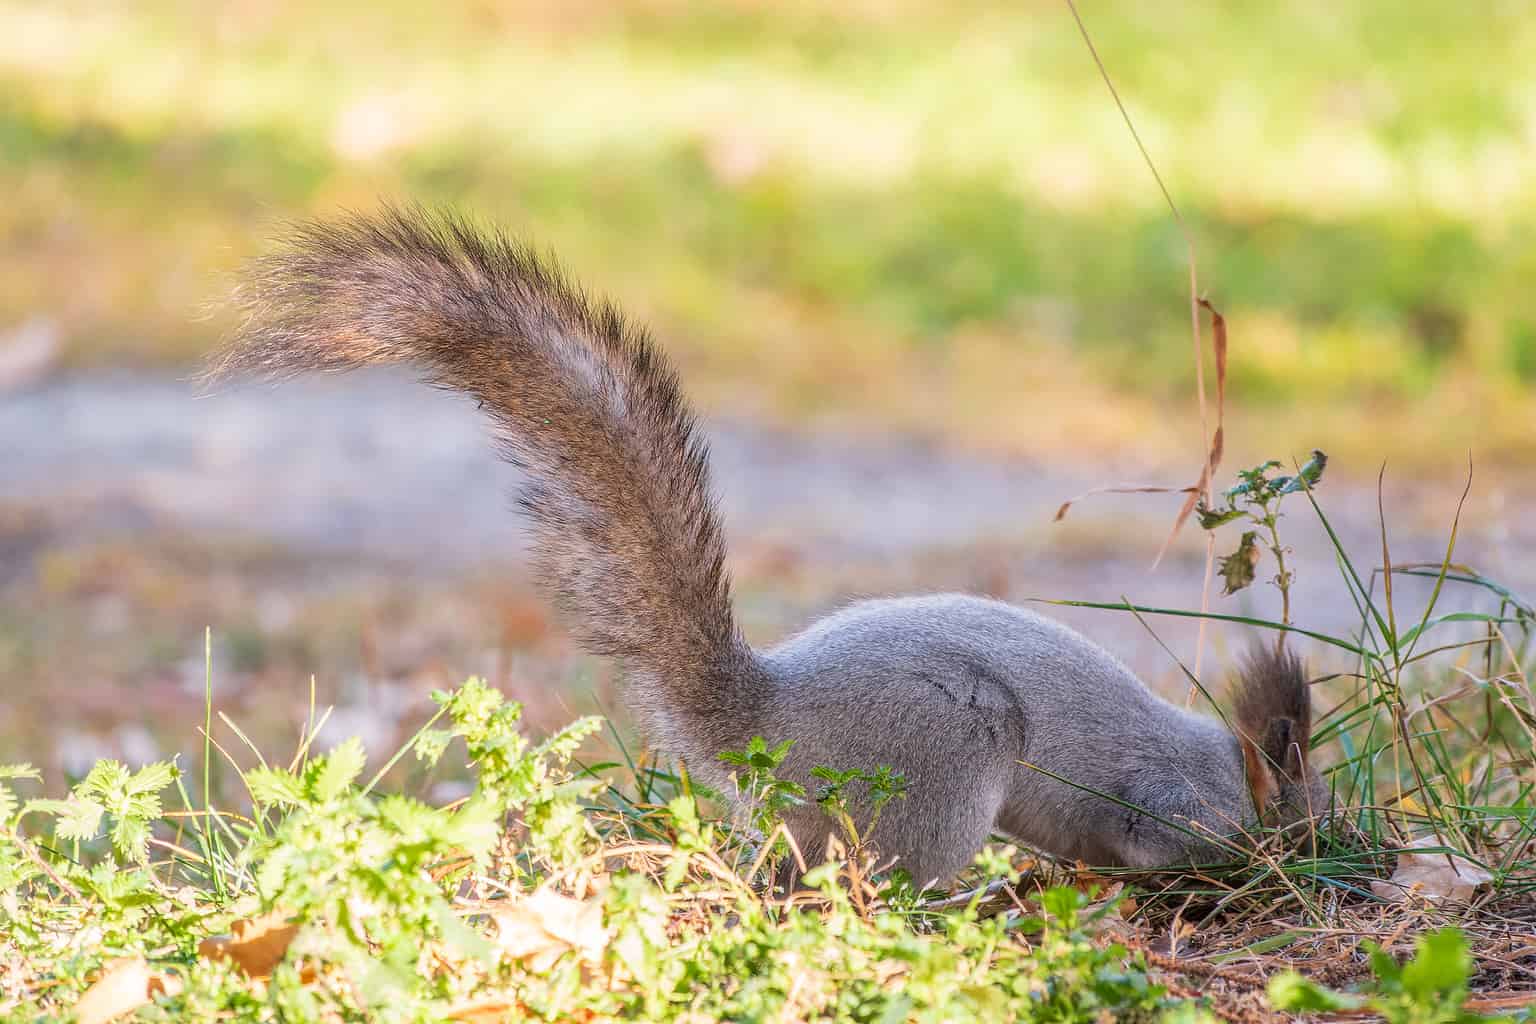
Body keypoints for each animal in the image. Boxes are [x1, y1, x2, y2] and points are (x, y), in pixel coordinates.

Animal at [211, 206, 1329, 889]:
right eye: (1302, 797)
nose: (1333, 848)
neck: (1218, 755)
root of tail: (768, 720)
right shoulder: (1168, 805)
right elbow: (1155, 841)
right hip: (940, 760)